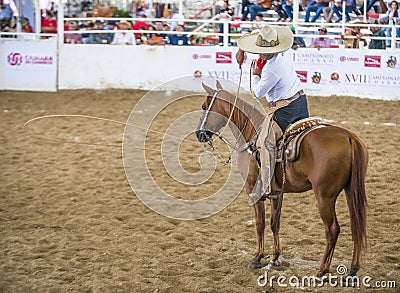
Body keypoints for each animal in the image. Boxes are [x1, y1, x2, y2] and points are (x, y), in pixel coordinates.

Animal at [195, 81, 368, 276]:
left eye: (204, 106)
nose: (199, 134)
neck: (251, 135)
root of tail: (350, 137)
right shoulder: (277, 192)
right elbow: (274, 223)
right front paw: (275, 257)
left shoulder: (252, 189)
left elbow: (260, 223)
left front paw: (257, 258)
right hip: (351, 190)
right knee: (356, 225)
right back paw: (353, 269)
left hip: (324, 197)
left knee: (332, 230)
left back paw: (322, 270)